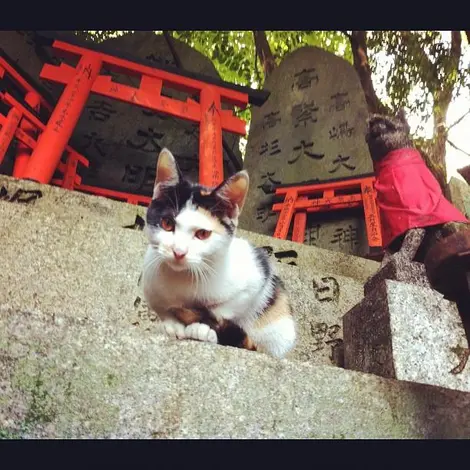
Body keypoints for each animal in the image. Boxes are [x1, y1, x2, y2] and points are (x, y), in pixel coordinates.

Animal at [141, 149, 296, 358]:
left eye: (202, 234)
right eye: (167, 223)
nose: (179, 252)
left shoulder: (256, 276)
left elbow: (223, 309)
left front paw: (202, 328)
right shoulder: (151, 288)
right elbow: (163, 310)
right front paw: (172, 326)